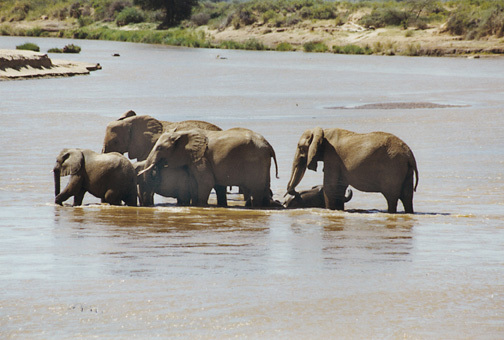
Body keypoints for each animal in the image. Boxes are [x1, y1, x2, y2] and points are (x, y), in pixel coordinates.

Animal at [138, 127, 280, 207]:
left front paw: (201, 205)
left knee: (256, 189)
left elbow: (206, 182)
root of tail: (269, 145)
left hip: (256, 161)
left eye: (159, 148)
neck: (183, 133)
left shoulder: (201, 158)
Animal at [286, 127, 420, 212]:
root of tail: (410, 155)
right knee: (407, 197)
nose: (295, 192)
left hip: (393, 168)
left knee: (392, 197)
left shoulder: (332, 157)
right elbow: (339, 188)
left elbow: (330, 187)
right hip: (405, 170)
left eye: (300, 147)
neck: (323, 132)